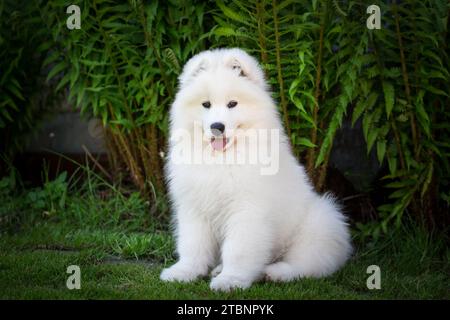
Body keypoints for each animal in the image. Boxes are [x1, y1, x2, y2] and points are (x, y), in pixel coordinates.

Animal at [160, 48, 354, 292]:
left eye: (232, 104)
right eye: (206, 104)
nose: (217, 127)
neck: (223, 159)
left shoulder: (247, 210)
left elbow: (238, 250)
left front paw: (230, 280)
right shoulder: (194, 208)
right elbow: (193, 245)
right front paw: (184, 272)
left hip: (320, 224)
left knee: (305, 265)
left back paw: (273, 273)